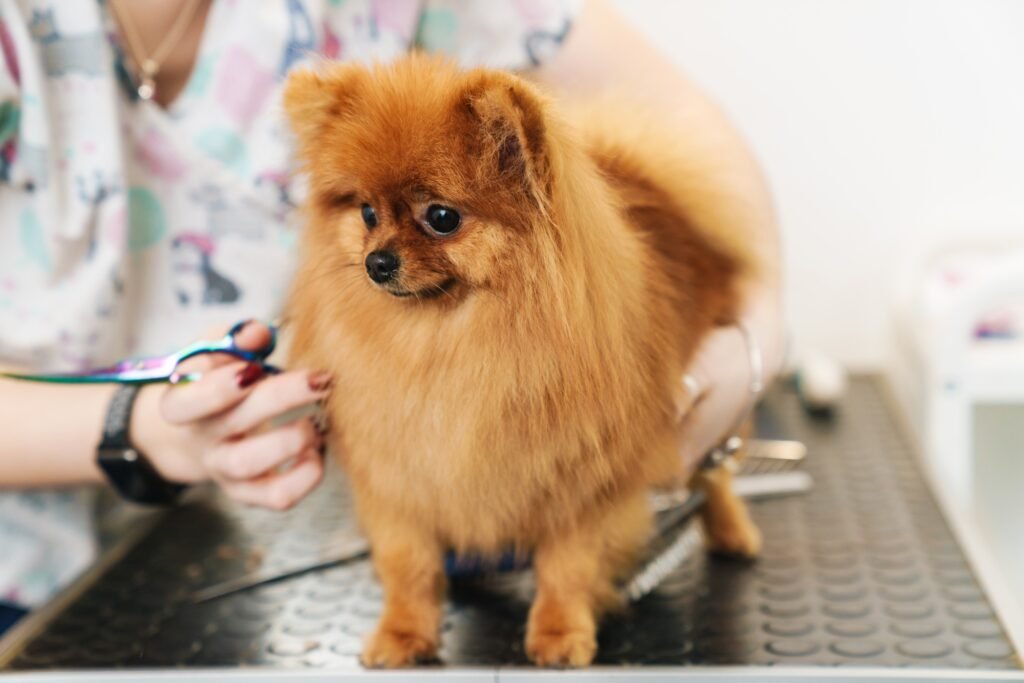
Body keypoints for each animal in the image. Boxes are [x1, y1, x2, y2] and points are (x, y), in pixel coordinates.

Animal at [284, 54, 765, 667]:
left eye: (441, 216)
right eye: (366, 212)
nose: (377, 262)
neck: (443, 342)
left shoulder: (586, 483)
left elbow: (567, 567)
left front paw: (559, 632)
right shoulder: (400, 478)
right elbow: (407, 564)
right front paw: (402, 632)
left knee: (718, 475)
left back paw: (733, 531)